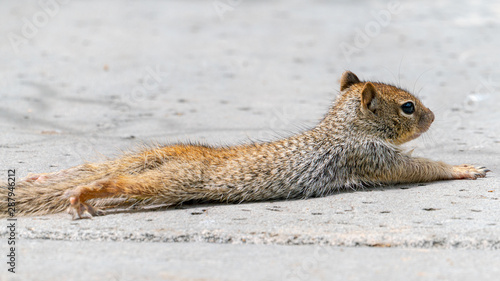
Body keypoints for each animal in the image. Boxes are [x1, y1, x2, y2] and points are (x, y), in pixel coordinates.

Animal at [0, 70, 490, 219]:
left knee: (105, 168)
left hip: (154, 159)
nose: (433, 116)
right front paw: (463, 169)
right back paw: (83, 193)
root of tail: (184, 155)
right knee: (116, 182)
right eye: (408, 108)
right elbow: (418, 168)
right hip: (174, 180)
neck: (344, 127)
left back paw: (47, 178)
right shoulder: (371, 159)